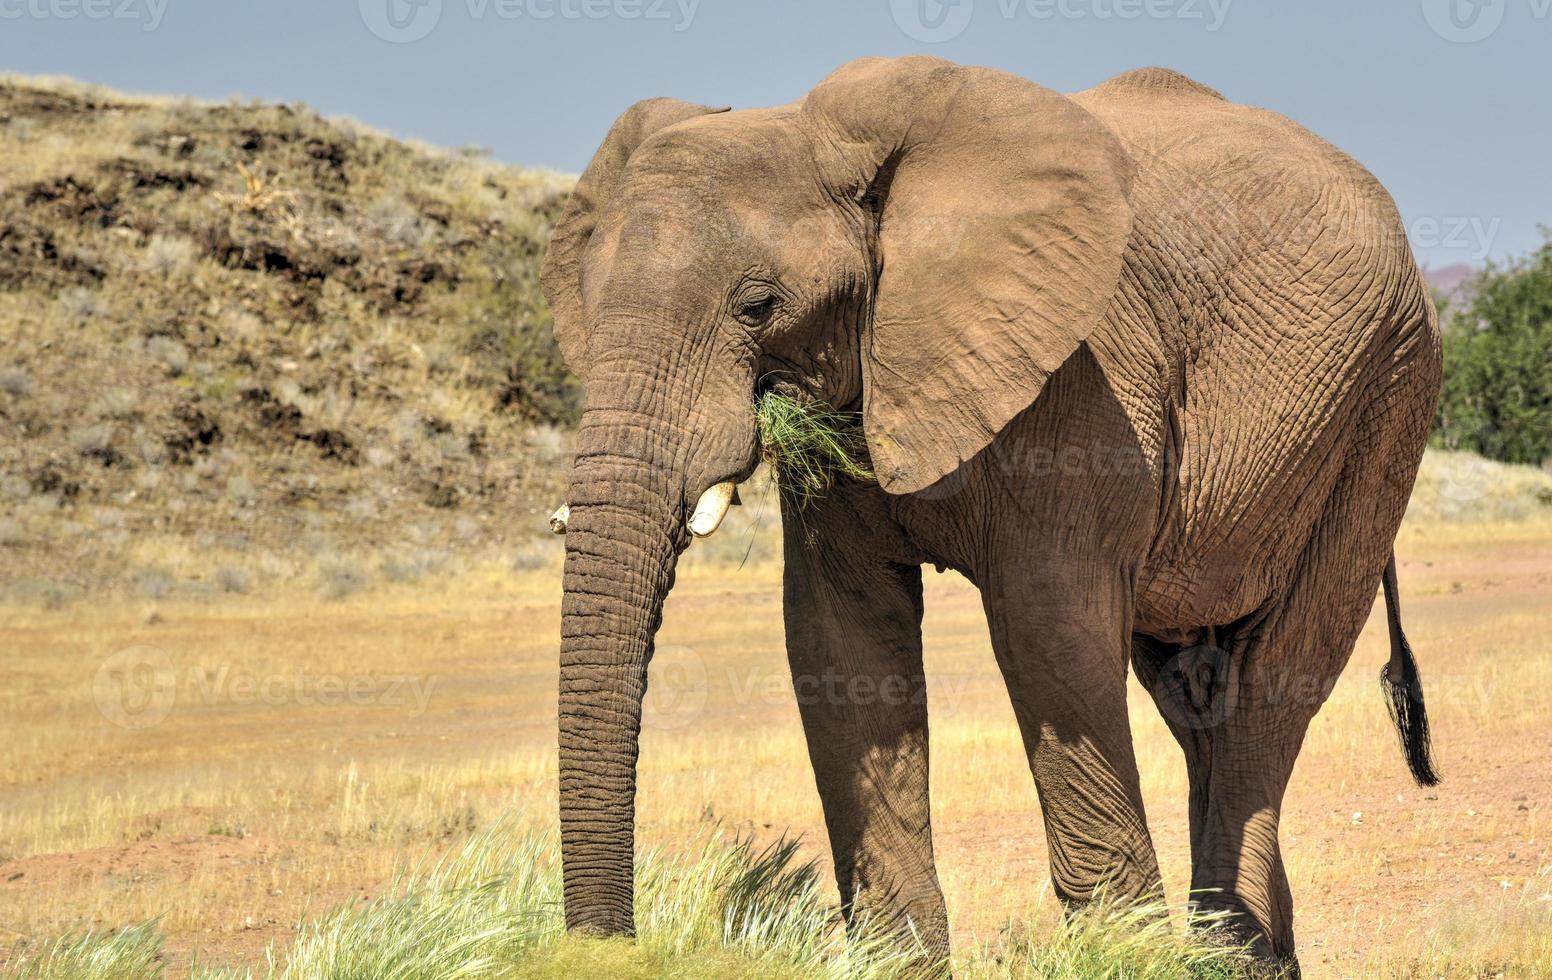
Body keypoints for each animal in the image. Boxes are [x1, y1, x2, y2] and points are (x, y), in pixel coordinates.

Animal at [543, 55, 1440, 975]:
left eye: (758, 305)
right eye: (586, 300)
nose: (603, 948)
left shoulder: (1080, 377)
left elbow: (1051, 631)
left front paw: (1121, 953)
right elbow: (840, 639)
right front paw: (897, 961)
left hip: (1387, 398)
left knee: (1275, 680)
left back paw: (1226, 952)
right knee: (1196, 697)